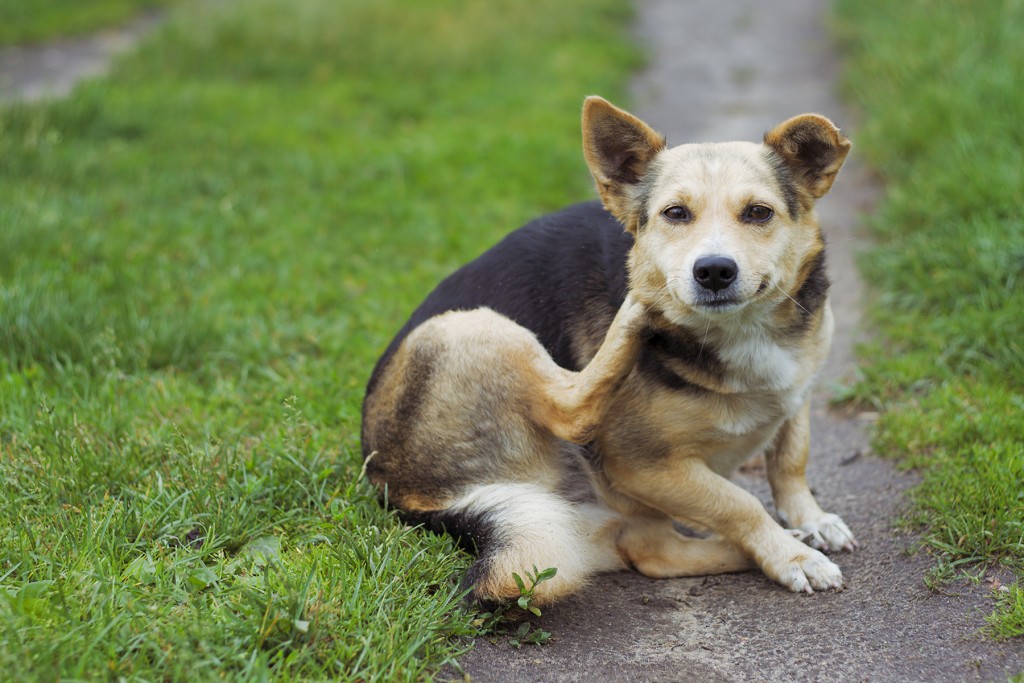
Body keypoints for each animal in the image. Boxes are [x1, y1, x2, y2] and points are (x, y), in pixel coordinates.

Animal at [360, 96, 856, 602]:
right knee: (573, 413)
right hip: (474, 326)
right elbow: (740, 503)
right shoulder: (640, 465)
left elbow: (790, 460)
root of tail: (402, 493)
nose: (713, 271)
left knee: (651, 550)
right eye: (675, 214)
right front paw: (791, 556)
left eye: (758, 213)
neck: (743, 330)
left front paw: (810, 521)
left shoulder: (798, 388)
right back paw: (638, 309)